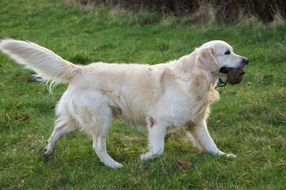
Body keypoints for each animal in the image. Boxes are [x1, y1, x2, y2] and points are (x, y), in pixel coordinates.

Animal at [0, 39, 247, 168]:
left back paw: (48, 151)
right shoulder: (157, 122)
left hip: (78, 119)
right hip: (101, 117)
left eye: (233, 50)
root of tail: (80, 69)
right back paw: (113, 165)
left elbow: (211, 144)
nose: (247, 60)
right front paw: (145, 158)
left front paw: (224, 156)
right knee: (97, 145)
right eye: (227, 52)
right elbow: (158, 149)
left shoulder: (196, 122)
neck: (194, 78)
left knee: (58, 129)